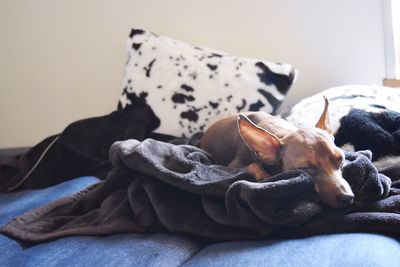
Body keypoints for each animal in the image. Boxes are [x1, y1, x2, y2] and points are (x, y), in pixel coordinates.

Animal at [200, 97, 354, 208]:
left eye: (341, 159)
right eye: (305, 168)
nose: (347, 198)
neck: (282, 132)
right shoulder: (233, 166)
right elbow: (253, 165)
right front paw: (263, 175)